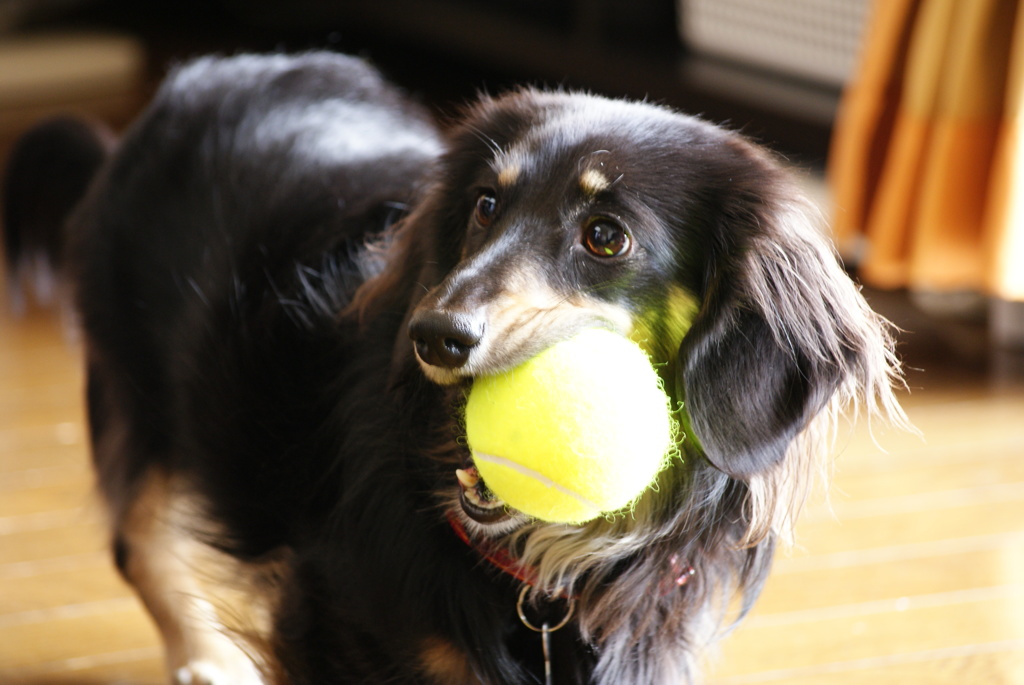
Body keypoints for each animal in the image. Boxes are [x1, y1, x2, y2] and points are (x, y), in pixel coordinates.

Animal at [4, 50, 909, 679]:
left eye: (605, 235)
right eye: (485, 205)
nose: (434, 335)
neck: (549, 568)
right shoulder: (334, 622)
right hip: (146, 395)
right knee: (139, 540)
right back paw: (200, 655)